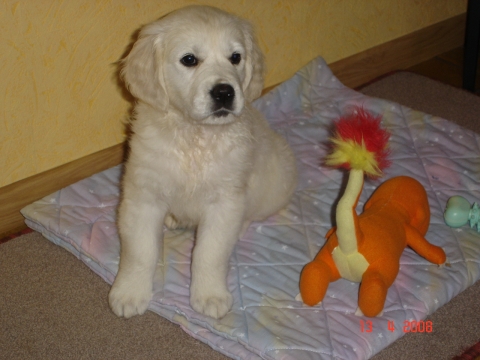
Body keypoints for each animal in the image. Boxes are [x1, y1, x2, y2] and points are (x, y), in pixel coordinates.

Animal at [109, 5, 296, 320]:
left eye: (236, 57)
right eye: (189, 60)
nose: (224, 92)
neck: (194, 135)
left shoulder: (225, 201)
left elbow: (209, 252)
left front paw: (210, 295)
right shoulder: (142, 195)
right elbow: (140, 251)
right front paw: (130, 291)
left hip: (274, 183)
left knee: (252, 212)